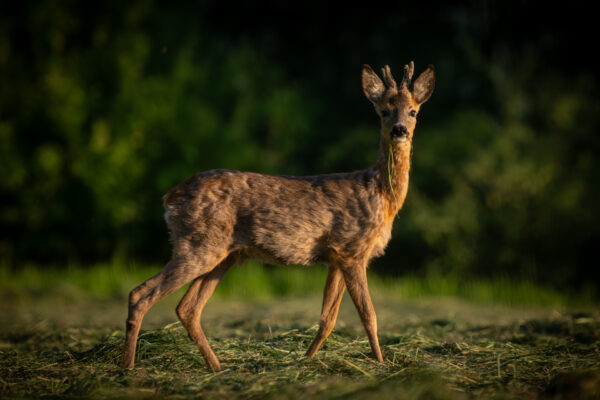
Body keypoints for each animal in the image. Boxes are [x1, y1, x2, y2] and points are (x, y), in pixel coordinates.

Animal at [122, 61, 434, 370]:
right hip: (198, 244)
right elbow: (369, 315)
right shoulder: (352, 248)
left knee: (187, 308)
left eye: (413, 111)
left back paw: (218, 368)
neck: (380, 194)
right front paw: (382, 364)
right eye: (384, 111)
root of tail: (171, 197)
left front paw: (306, 361)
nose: (400, 130)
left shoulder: (335, 258)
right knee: (141, 294)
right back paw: (128, 367)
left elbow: (327, 319)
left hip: (223, 254)